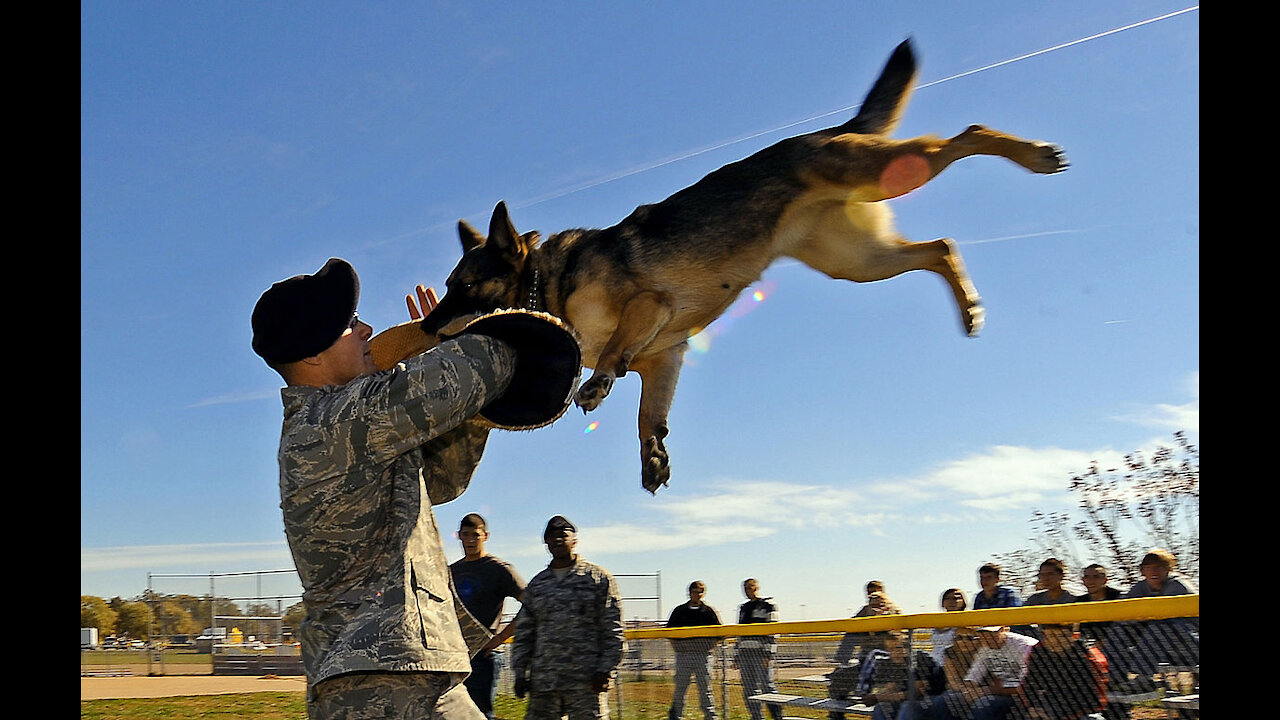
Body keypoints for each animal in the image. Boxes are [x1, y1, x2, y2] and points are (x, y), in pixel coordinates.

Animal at [417, 39, 1059, 491]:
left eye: (464, 285)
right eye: (447, 286)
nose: (425, 326)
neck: (546, 285)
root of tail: (835, 130)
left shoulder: (650, 309)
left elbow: (617, 352)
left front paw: (598, 384)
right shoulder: (665, 358)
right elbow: (647, 414)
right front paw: (653, 456)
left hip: (882, 177)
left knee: (967, 134)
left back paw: (1035, 155)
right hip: (859, 261)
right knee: (942, 246)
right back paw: (970, 307)